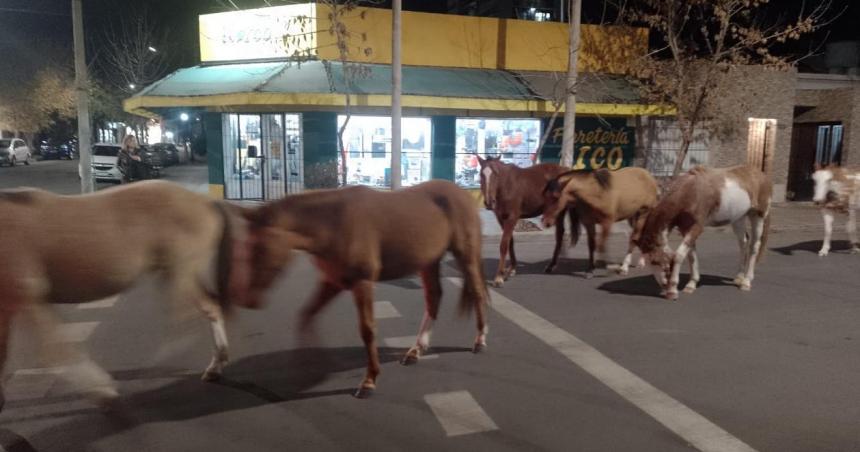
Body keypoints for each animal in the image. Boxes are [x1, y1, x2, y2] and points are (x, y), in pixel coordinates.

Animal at [0, 179, 249, 410]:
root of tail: (205, 202)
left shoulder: (26, 296)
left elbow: (54, 351)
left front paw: (102, 390)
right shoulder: (15, 304)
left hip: (181, 273)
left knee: (195, 312)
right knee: (210, 307)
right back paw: (214, 366)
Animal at [235, 180, 490, 400]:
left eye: (260, 249)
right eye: (246, 247)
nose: (249, 300)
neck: (334, 222)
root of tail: (461, 192)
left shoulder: (362, 282)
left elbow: (367, 330)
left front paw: (369, 380)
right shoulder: (333, 282)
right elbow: (307, 315)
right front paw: (309, 360)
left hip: (465, 255)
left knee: (477, 292)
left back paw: (479, 340)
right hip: (429, 261)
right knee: (434, 297)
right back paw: (416, 350)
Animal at [480, 155, 576, 286]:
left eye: (496, 173)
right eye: (481, 174)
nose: (489, 202)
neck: (506, 186)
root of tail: (566, 170)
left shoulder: (512, 217)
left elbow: (504, 245)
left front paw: (499, 277)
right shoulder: (501, 218)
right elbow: (510, 242)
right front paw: (512, 268)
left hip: (559, 211)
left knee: (560, 234)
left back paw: (551, 265)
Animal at [632, 166, 772, 300]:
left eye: (655, 261)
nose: (664, 286)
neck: (691, 192)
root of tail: (763, 176)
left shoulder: (697, 227)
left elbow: (679, 255)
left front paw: (673, 291)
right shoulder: (685, 229)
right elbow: (691, 255)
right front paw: (691, 285)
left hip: (757, 216)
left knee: (754, 245)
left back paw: (746, 282)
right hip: (738, 218)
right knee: (743, 242)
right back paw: (739, 278)